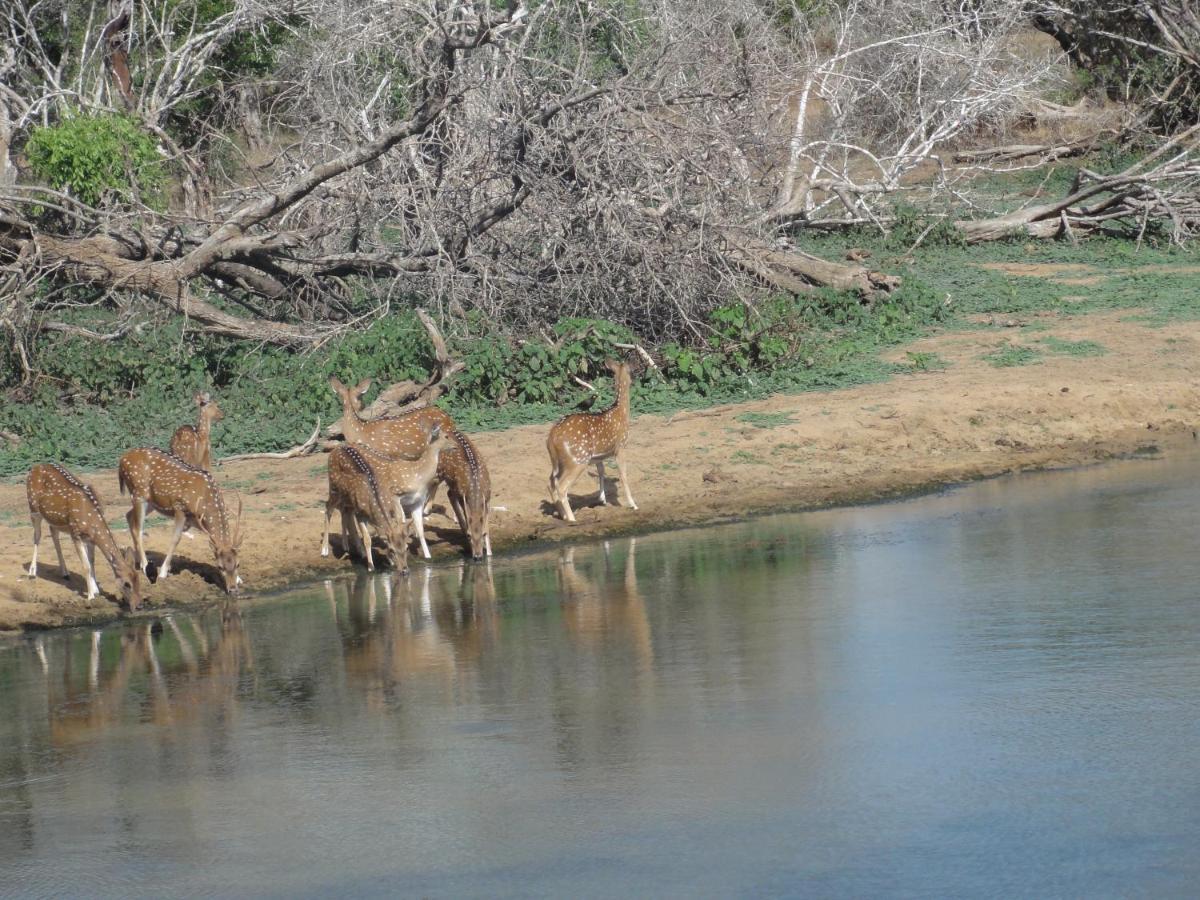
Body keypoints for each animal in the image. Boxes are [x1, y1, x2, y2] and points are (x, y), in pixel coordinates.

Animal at [27, 460, 142, 609]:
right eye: (126, 584)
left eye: (138, 579)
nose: (139, 605)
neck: (90, 518)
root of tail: (35, 467)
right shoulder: (75, 533)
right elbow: (86, 566)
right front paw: (91, 595)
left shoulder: (90, 538)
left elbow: (92, 563)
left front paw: (96, 590)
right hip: (33, 508)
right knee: (37, 536)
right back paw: (32, 572)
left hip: (55, 520)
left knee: (53, 533)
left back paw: (65, 573)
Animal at [118, 448, 242, 592]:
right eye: (219, 566)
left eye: (238, 564)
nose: (233, 589)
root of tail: (122, 459)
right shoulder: (179, 508)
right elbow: (175, 539)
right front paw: (163, 573)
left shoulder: (196, 520)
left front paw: (240, 579)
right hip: (138, 493)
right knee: (138, 528)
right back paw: (144, 565)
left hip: (151, 502)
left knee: (128, 516)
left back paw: (137, 560)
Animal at [547, 357, 638, 520]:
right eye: (631, 370)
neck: (621, 412)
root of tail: (551, 438)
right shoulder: (620, 446)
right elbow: (623, 474)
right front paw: (633, 504)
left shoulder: (598, 455)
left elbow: (601, 471)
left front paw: (602, 499)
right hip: (578, 459)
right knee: (561, 486)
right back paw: (572, 518)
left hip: (558, 462)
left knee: (551, 483)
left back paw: (563, 515)